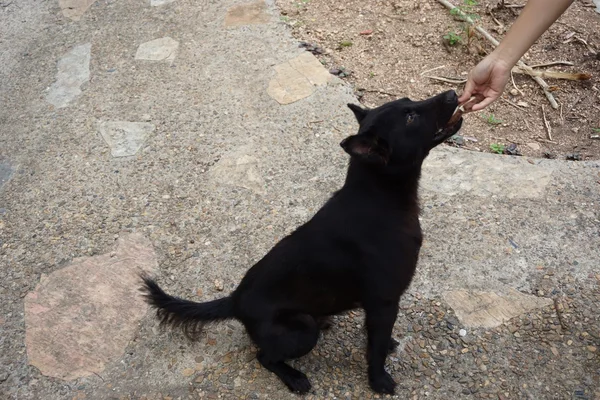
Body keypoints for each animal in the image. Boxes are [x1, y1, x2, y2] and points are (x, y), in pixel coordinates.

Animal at [142, 90, 464, 394]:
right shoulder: (384, 302)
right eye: (410, 117)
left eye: (409, 101)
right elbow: (375, 351)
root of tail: (235, 300)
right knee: (265, 357)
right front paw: (378, 381)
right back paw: (294, 377)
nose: (452, 94)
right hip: (303, 330)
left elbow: (378, 341)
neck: (380, 199)